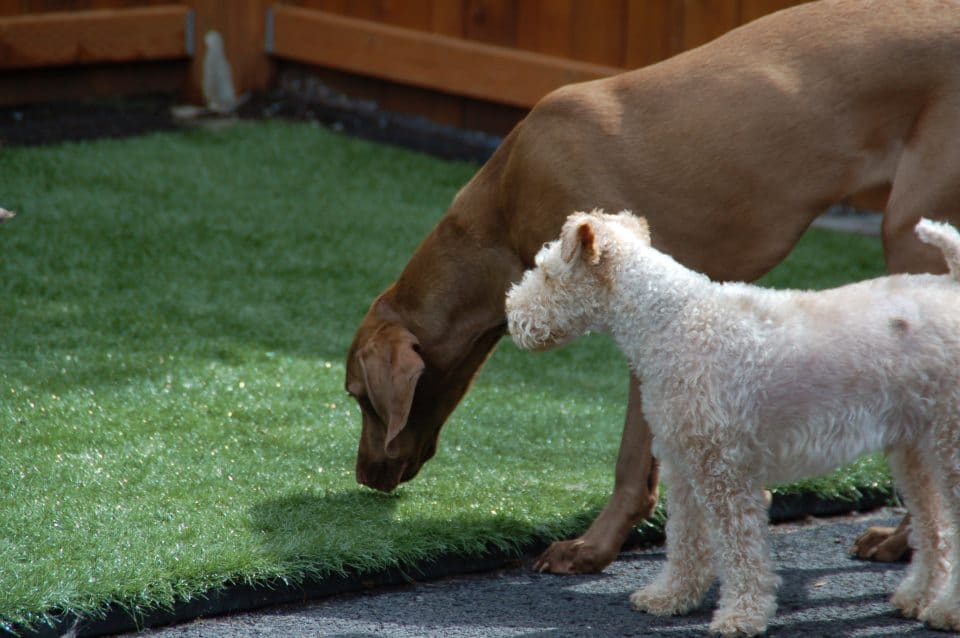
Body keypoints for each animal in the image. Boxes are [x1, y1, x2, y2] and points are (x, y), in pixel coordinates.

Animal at [344, 0, 960, 576]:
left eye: (356, 396)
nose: (364, 475)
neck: (501, 211)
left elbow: (631, 459)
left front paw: (594, 547)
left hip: (910, 229)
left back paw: (908, 541)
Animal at [506, 212, 956, 636]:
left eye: (547, 273)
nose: (511, 315)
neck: (668, 320)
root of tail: (950, 284)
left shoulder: (723, 471)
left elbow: (740, 551)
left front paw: (741, 616)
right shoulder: (682, 465)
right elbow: (685, 539)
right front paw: (669, 597)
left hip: (947, 445)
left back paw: (945, 612)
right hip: (915, 450)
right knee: (933, 530)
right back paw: (916, 599)